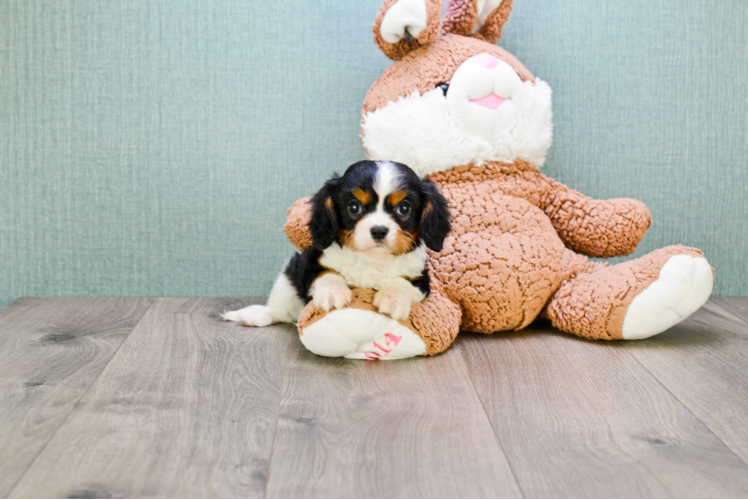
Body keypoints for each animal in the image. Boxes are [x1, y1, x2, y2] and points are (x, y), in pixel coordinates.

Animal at [222, 158, 450, 326]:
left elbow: (403, 282)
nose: (378, 230)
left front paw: (391, 299)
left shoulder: (421, 277)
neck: (371, 259)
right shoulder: (309, 262)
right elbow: (326, 272)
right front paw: (333, 293)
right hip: (286, 281)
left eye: (404, 208)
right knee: (278, 312)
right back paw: (255, 316)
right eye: (354, 207)